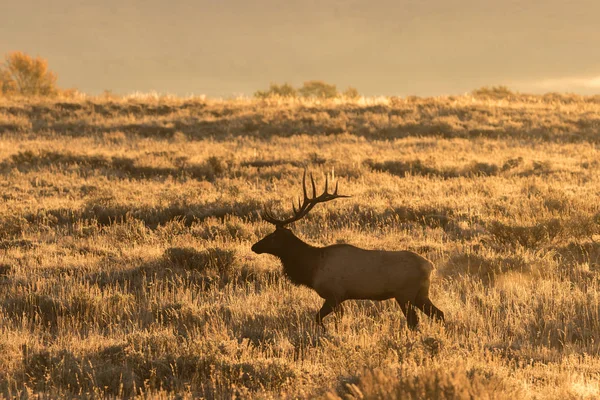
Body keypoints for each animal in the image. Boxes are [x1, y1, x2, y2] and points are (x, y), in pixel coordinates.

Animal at [251, 171, 442, 328]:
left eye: (273, 236)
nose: (254, 246)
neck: (312, 268)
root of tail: (430, 266)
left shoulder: (334, 294)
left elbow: (319, 318)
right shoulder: (339, 297)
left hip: (405, 294)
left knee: (414, 321)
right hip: (420, 294)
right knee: (439, 314)